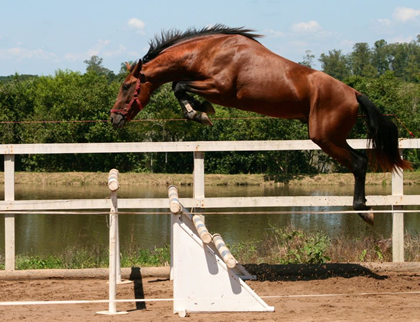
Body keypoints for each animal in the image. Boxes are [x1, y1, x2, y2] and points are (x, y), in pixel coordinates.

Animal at [110, 25, 412, 225]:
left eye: (126, 87)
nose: (114, 118)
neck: (206, 52)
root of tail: (354, 93)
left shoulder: (219, 87)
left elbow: (179, 85)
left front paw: (199, 112)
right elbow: (178, 85)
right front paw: (199, 111)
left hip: (325, 137)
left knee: (359, 163)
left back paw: (364, 210)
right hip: (331, 137)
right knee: (360, 161)